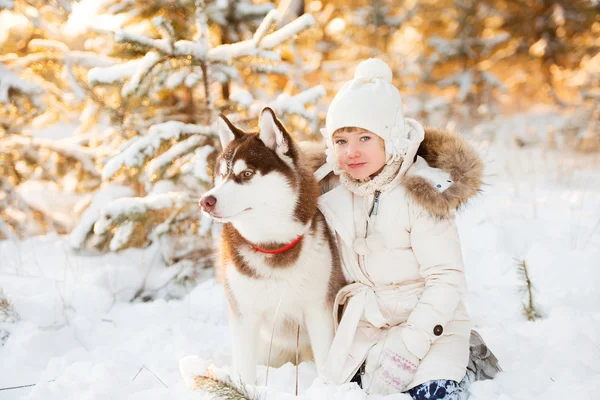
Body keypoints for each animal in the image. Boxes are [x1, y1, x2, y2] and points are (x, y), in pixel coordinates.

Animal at [199, 107, 344, 384]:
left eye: (246, 174)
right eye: (221, 175)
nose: (205, 201)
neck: (273, 245)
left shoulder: (319, 309)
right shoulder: (244, 315)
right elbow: (244, 372)